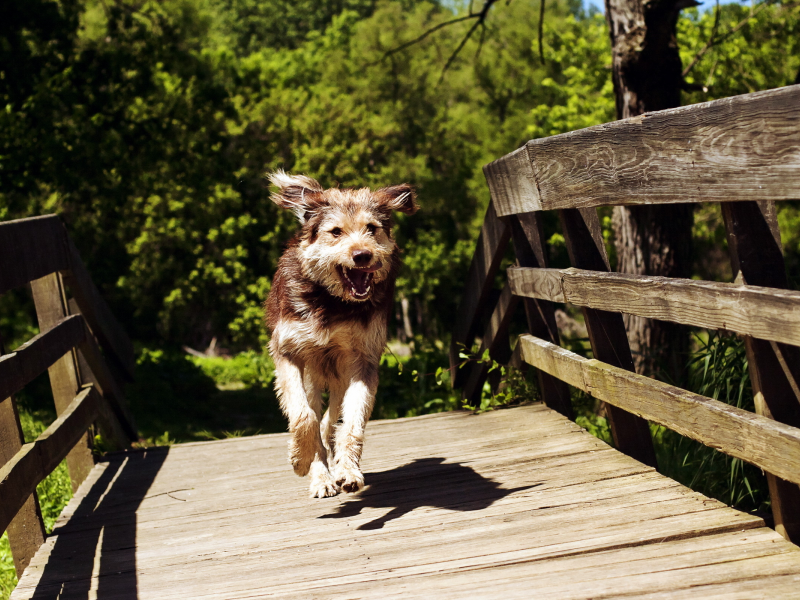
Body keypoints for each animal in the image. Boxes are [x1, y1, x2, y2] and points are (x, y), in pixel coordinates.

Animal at [268, 172, 418, 496]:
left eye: (371, 228)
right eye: (336, 232)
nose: (362, 255)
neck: (333, 302)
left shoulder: (363, 360)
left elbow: (352, 422)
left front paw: (348, 470)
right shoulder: (289, 352)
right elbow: (303, 416)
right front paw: (300, 459)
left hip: (338, 376)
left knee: (330, 420)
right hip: (312, 376)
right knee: (313, 414)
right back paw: (320, 476)